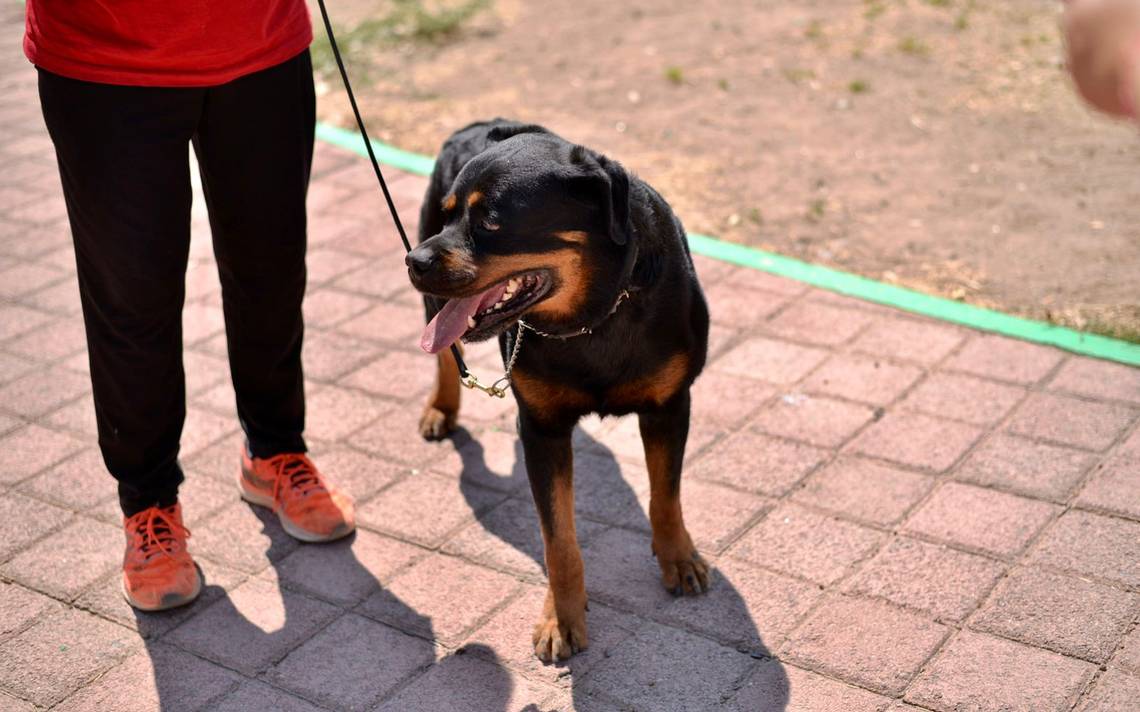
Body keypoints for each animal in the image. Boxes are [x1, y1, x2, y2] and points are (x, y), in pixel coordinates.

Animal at [408, 117, 711, 660]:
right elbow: (558, 540)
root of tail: (479, 122)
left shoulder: (671, 404)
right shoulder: (541, 429)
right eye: (449, 215)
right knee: (444, 351)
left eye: (490, 220)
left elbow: (666, 494)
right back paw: (441, 408)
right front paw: (561, 618)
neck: (596, 316)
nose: (413, 259)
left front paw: (677, 557)